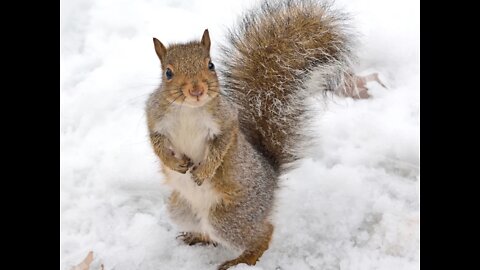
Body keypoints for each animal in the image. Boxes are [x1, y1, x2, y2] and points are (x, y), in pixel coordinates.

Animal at [146, 0, 360, 270]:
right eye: (168, 73)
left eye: (210, 65)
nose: (197, 90)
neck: (189, 110)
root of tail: (271, 175)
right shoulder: (154, 120)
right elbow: (157, 145)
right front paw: (173, 163)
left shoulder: (226, 121)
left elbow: (222, 146)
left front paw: (204, 171)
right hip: (181, 210)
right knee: (206, 229)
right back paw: (198, 236)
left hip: (230, 217)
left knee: (263, 232)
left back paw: (242, 259)